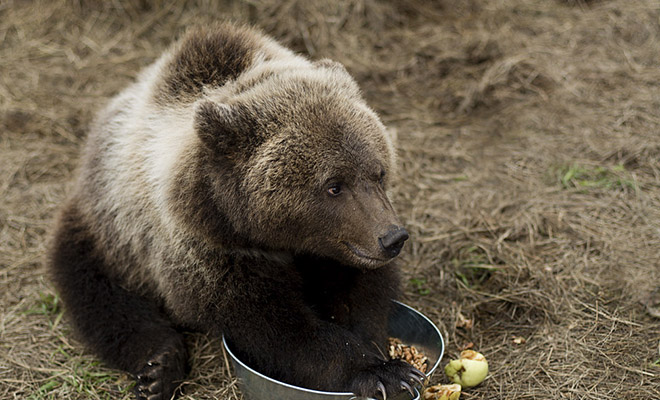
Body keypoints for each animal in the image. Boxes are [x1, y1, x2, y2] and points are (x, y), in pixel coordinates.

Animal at [47, 22, 422, 400]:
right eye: (334, 185)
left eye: (378, 172)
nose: (392, 238)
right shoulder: (205, 247)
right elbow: (271, 322)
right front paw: (382, 372)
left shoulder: (342, 246)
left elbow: (363, 292)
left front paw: (380, 351)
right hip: (111, 229)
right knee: (98, 293)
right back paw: (158, 366)